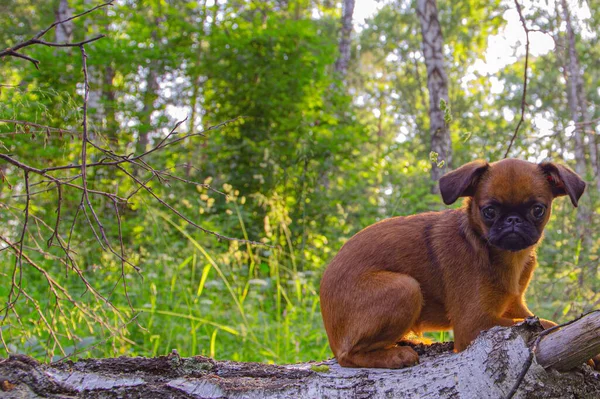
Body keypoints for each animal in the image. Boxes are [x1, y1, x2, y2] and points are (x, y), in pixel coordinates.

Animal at [322, 159, 588, 368]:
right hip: (405, 288)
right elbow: (544, 323)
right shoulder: (474, 324)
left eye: (538, 210)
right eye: (489, 211)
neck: (504, 256)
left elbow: (547, 322)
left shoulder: (514, 305)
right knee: (347, 356)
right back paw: (395, 355)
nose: (513, 220)